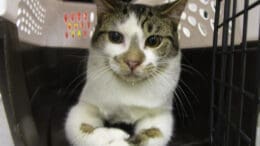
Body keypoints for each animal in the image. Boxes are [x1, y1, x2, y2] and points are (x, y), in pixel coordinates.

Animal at [64, 0, 187, 145]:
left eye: (153, 41)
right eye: (115, 37)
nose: (132, 62)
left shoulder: (160, 113)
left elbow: (152, 133)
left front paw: (124, 140)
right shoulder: (84, 107)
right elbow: (83, 129)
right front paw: (116, 136)